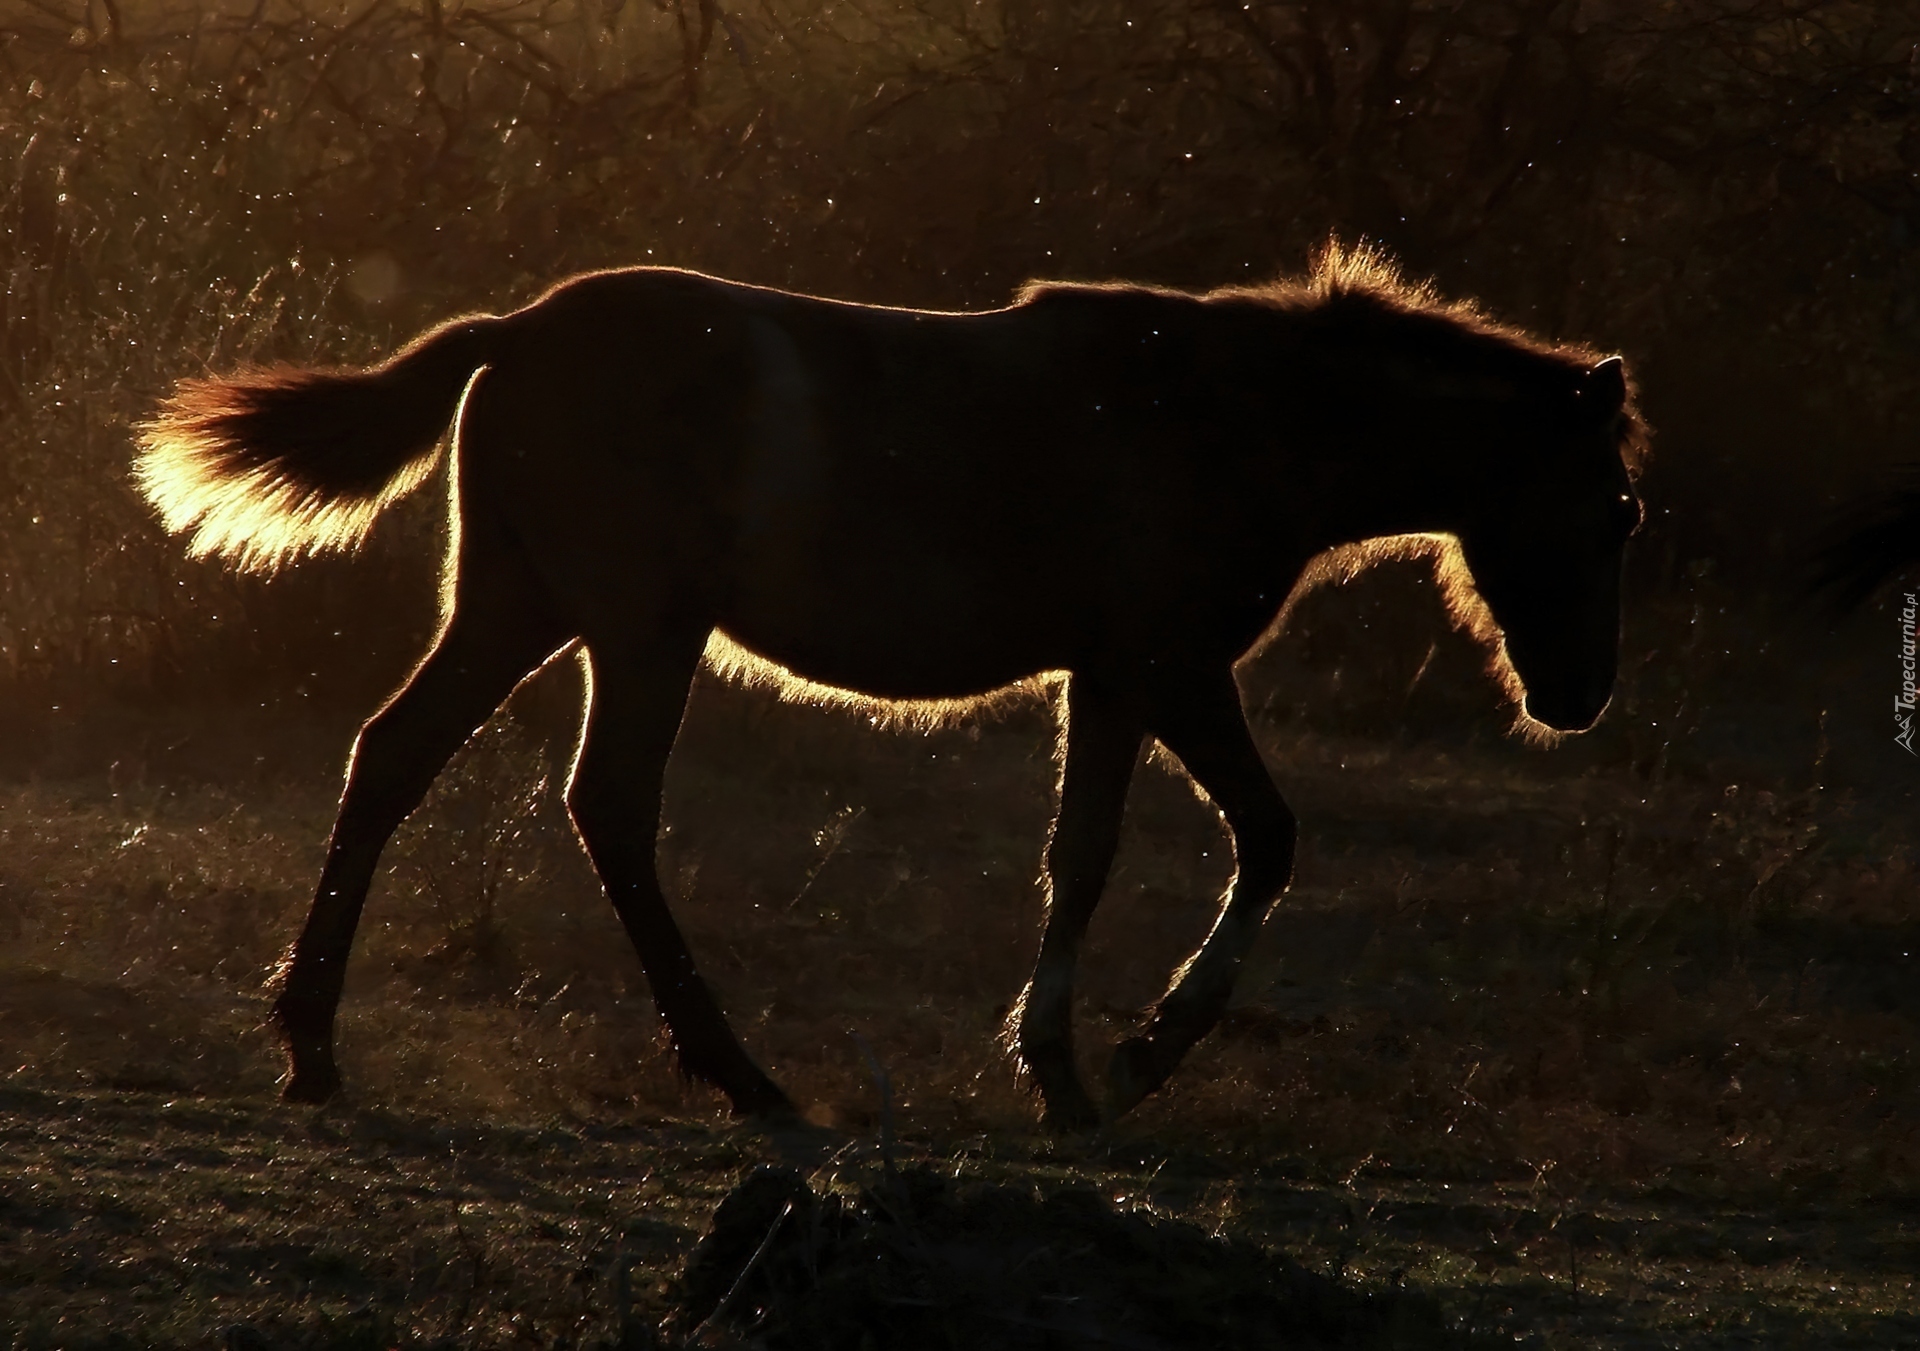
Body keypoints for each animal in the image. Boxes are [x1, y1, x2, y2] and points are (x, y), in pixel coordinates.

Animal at [135, 245, 1643, 1128]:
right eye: (1615, 509)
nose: (1579, 698)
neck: (1231, 417)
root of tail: (517, 329)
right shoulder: (1172, 665)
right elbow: (1265, 837)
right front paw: (1142, 1052)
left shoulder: (1111, 679)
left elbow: (1083, 853)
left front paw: (1060, 1065)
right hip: (638, 632)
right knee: (607, 807)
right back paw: (743, 1077)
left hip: (521, 610)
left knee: (393, 758)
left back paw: (313, 1046)